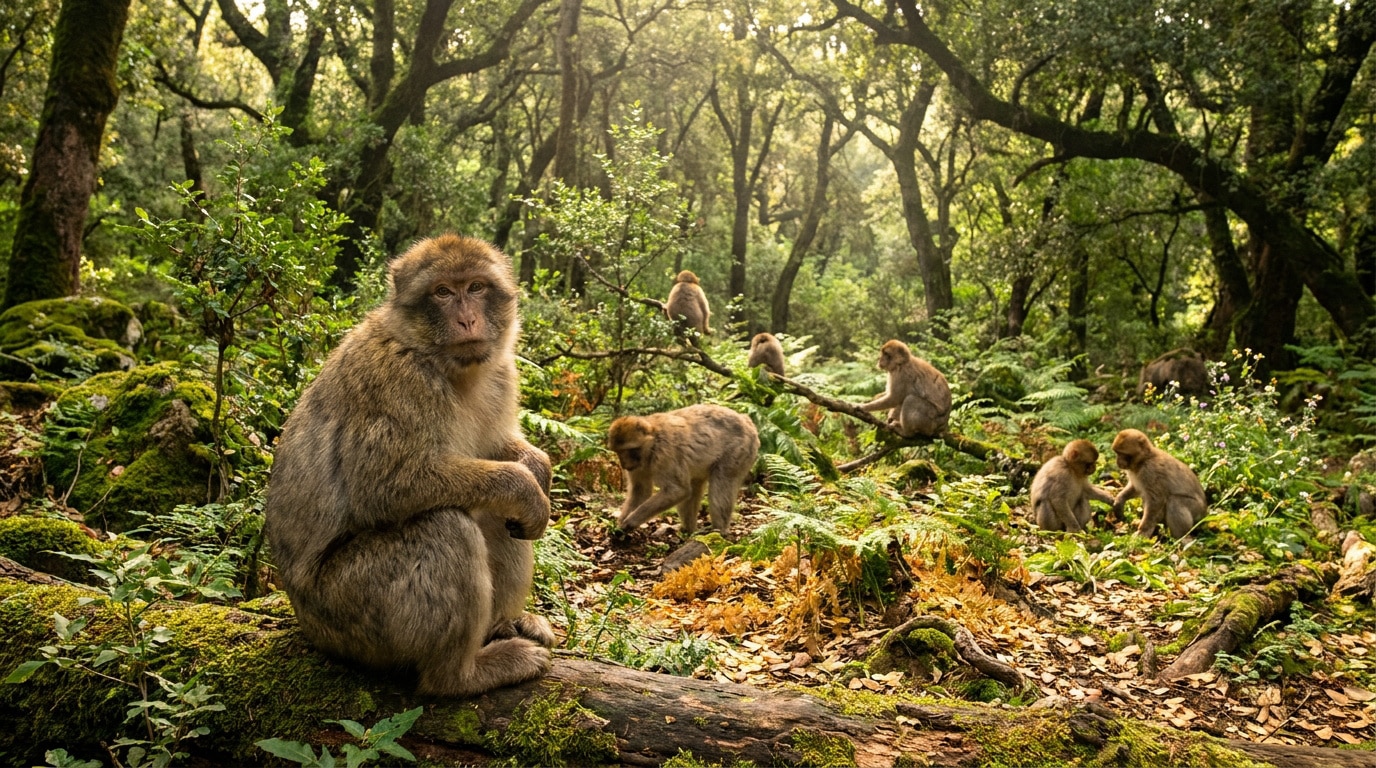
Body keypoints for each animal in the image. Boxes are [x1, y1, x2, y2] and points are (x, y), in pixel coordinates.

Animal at [264, 234, 556, 697]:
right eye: (443, 292)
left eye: (476, 287)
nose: (468, 320)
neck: (442, 363)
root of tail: (306, 622)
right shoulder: (398, 380)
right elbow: (384, 488)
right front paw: (524, 484)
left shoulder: (501, 375)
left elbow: (499, 448)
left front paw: (537, 467)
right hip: (353, 612)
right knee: (446, 525)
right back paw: (463, 674)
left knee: (495, 516)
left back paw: (506, 625)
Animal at [608, 404, 759, 538]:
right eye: (619, 452)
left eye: (630, 450)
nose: (624, 464)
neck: (653, 443)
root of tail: (746, 420)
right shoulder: (638, 466)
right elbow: (641, 491)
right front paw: (620, 526)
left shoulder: (666, 454)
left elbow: (678, 491)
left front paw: (630, 522)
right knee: (695, 484)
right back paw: (689, 532)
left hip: (739, 451)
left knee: (722, 483)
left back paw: (719, 531)